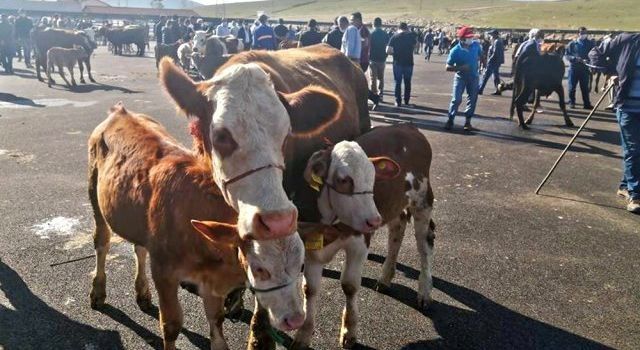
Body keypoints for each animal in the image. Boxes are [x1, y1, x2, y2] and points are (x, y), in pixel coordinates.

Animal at [87, 102, 304, 350]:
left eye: (301, 266)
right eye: (260, 269)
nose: (295, 319)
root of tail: (120, 112)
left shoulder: (212, 281)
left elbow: (216, 320)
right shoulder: (164, 272)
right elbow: (171, 325)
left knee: (139, 249)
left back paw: (142, 294)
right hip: (94, 193)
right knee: (102, 243)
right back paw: (98, 291)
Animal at [292, 124, 436, 348]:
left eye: (373, 179)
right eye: (343, 180)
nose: (374, 220)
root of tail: (407, 126)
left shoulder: (360, 242)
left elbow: (349, 285)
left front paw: (349, 332)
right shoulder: (312, 246)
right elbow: (310, 289)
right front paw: (303, 335)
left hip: (423, 200)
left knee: (424, 245)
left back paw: (424, 292)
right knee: (397, 231)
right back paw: (385, 278)